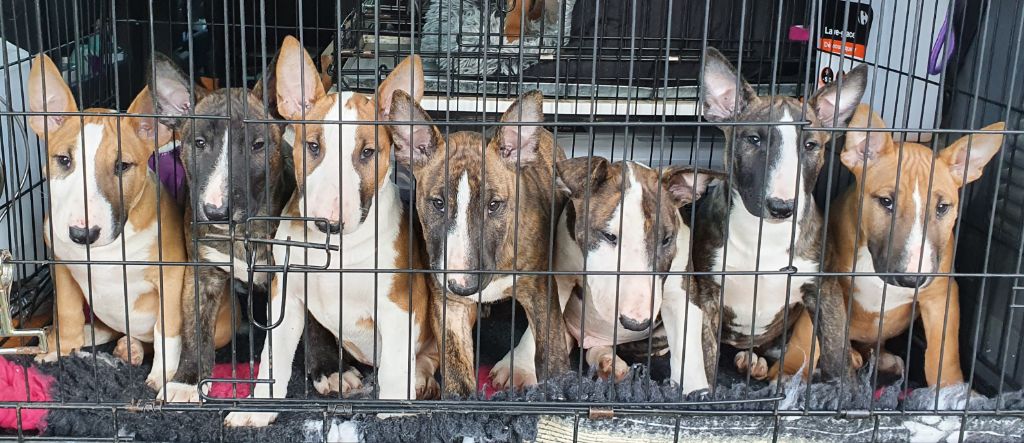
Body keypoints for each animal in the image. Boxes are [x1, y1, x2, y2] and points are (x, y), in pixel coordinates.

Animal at [28, 53, 187, 388]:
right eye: (64, 160)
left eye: (122, 166)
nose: (82, 234)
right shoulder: (61, 264)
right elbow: (68, 311)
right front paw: (61, 350)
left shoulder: (170, 273)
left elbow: (166, 329)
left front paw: (162, 378)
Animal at [226, 37, 438, 425]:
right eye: (313, 146)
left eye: (368, 152)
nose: (328, 221)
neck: (336, 252)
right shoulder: (286, 297)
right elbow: (272, 358)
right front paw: (257, 410)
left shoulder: (399, 304)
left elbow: (395, 365)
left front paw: (395, 414)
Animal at [692, 47, 868, 380]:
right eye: (754, 140)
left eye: (810, 145)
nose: (782, 207)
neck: (765, 234)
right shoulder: (706, 291)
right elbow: (702, 355)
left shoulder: (824, 288)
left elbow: (835, 352)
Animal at [778, 104, 1003, 386]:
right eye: (886, 201)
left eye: (942, 207)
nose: (911, 279)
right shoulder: (825, 284)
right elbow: (806, 340)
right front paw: (787, 375)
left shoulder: (941, 295)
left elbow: (943, 353)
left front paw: (950, 389)